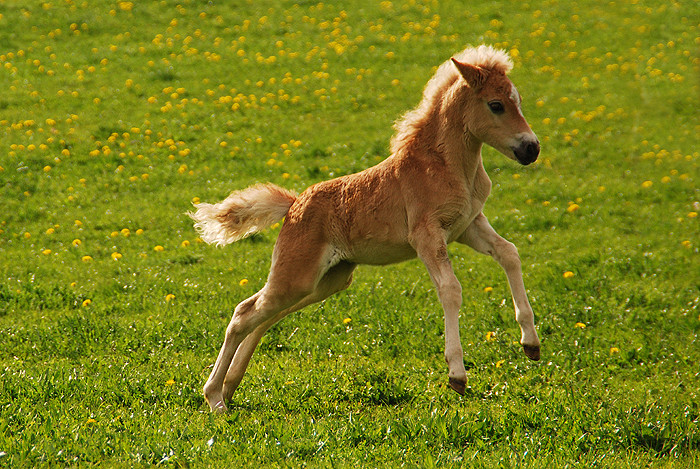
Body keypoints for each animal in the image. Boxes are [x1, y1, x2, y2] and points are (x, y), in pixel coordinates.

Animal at [190, 44, 540, 410]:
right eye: (496, 105)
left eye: (517, 99)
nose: (531, 148)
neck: (448, 166)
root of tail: (294, 204)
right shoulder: (427, 236)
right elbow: (451, 289)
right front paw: (457, 375)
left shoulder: (468, 226)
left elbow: (509, 253)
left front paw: (531, 344)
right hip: (297, 276)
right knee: (245, 314)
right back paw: (215, 397)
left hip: (325, 281)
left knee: (264, 316)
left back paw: (230, 386)